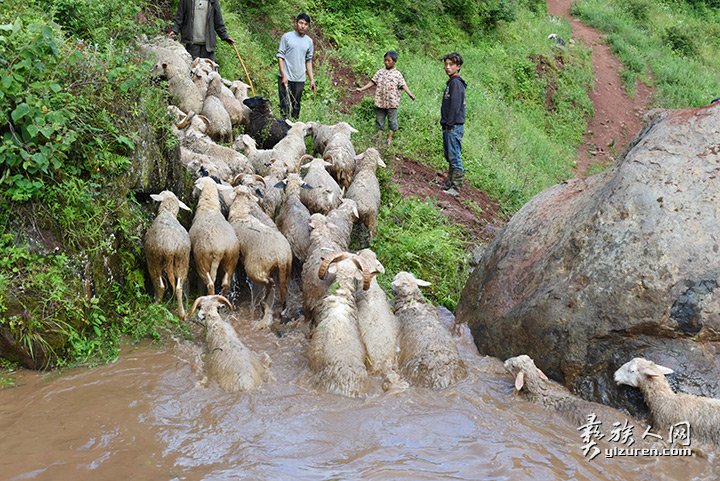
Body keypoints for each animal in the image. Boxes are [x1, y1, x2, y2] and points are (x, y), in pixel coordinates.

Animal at [143, 190, 191, 318]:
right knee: (179, 288)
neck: (168, 212)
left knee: (160, 285)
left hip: (154, 259)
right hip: (182, 261)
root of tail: (170, 249)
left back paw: (155, 305)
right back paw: (182, 314)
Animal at [226, 186, 292, 328]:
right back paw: (282, 309)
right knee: (283, 288)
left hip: (255, 268)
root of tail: (281, 256)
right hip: (286, 269)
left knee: (269, 282)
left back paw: (263, 302)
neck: (241, 214)